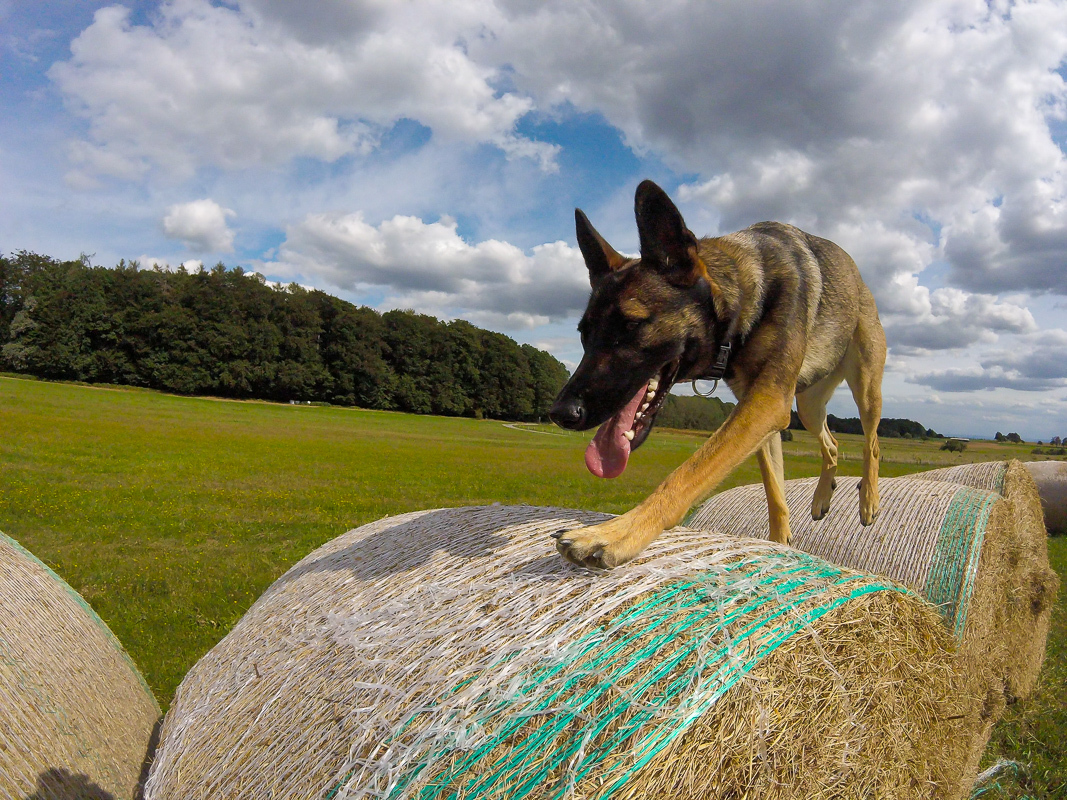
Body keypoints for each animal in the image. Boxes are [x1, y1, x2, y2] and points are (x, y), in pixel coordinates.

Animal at [546, 181, 887, 571]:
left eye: (631, 326)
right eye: (583, 335)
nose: (561, 413)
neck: (740, 300)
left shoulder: (767, 402)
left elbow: (690, 472)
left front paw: (616, 532)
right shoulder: (763, 409)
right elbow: (774, 491)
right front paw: (779, 545)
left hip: (865, 387)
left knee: (872, 443)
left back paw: (869, 500)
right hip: (807, 406)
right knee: (830, 443)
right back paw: (821, 498)